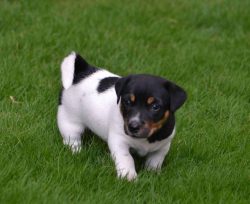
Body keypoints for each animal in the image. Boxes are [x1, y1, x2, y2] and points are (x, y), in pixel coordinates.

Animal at [56, 51, 186, 181]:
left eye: (155, 107)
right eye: (127, 102)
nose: (133, 127)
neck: (146, 138)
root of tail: (82, 71)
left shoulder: (163, 145)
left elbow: (155, 160)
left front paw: (152, 173)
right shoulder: (119, 141)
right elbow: (126, 158)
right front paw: (128, 176)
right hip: (69, 122)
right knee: (72, 139)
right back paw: (77, 152)